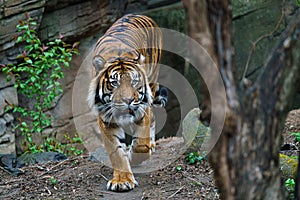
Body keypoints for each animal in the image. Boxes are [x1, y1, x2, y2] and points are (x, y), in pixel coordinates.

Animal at [86, 14, 168, 192]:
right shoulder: (106, 119)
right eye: (114, 83)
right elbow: (116, 152)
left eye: (134, 81)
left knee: (152, 117)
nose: (128, 100)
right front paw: (122, 181)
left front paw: (133, 156)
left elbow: (140, 145)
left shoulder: (142, 109)